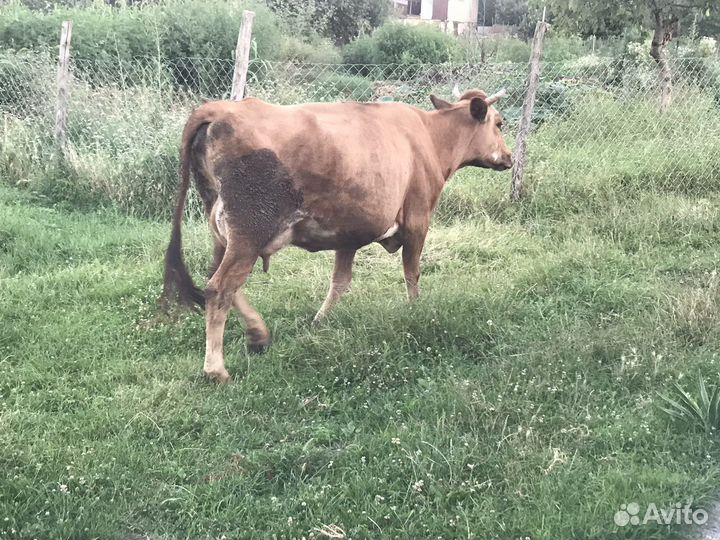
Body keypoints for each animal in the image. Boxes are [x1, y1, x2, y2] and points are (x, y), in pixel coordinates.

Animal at [163, 87, 512, 382]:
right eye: (499, 123)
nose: (509, 157)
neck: (429, 136)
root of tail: (219, 109)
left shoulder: (350, 232)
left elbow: (340, 282)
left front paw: (319, 321)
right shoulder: (417, 219)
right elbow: (412, 272)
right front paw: (416, 310)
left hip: (222, 233)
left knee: (219, 281)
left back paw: (258, 334)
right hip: (249, 233)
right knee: (220, 288)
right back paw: (216, 369)